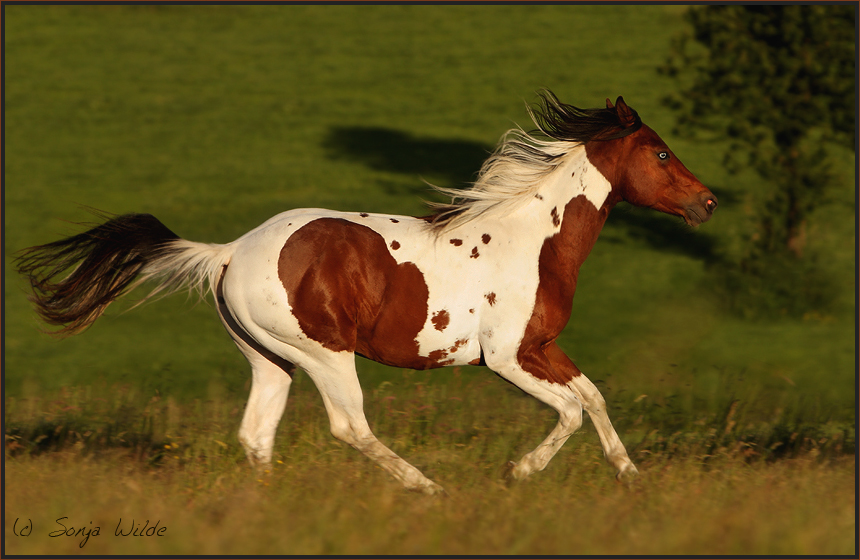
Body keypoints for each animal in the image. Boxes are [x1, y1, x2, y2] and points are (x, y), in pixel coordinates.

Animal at [16, 92, 716, 494]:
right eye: (660, 153)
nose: (708, 202)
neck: (532, 240)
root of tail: (230, 252)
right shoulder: (507, 358)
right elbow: (571, 410)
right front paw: (517, 473)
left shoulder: (542, 347)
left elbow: (592, 397)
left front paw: (631, 475)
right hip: (325, 354)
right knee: (349, 426)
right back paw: (425, 488)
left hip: (269, 360)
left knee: (256, 436)